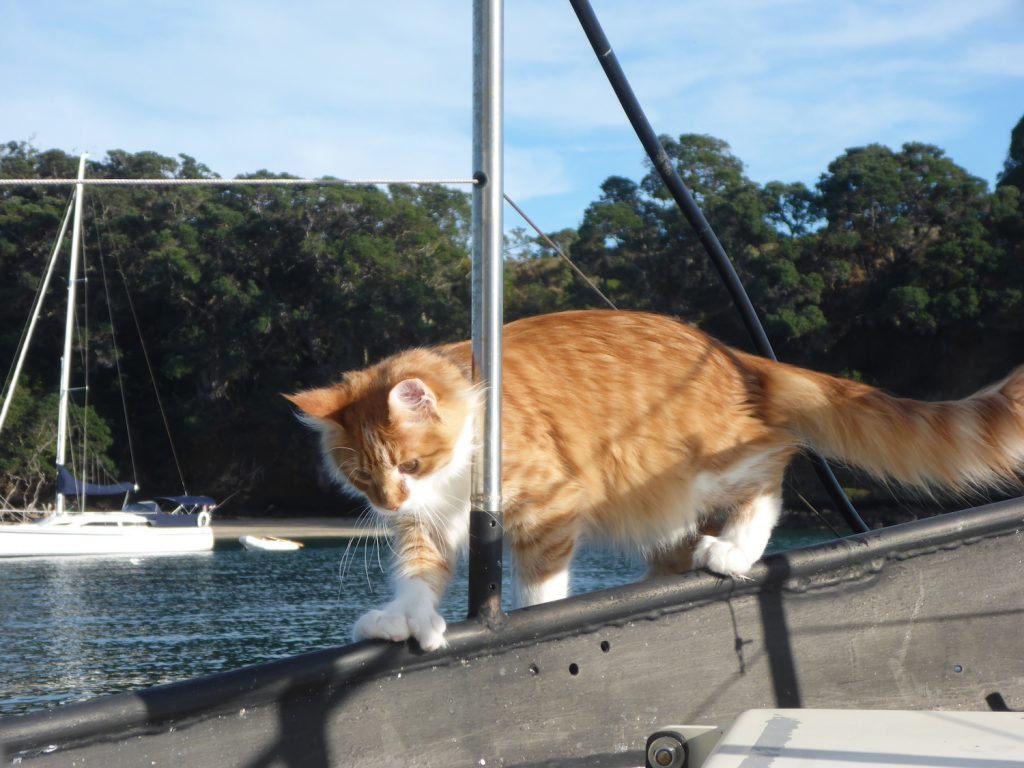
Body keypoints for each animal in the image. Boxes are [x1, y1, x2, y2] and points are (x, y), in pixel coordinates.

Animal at [286, 309, 1024, 651]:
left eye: (408, 464)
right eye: (363, 478)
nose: (388, 501)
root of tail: (728, 350)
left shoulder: (547, 503)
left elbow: (542, 588)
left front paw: (532, 619)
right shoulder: (428, 524)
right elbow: (418, 574)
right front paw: (405, 618)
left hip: (695, 466)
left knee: (776, 464)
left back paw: (736, 548)